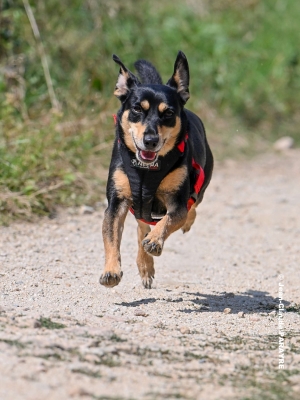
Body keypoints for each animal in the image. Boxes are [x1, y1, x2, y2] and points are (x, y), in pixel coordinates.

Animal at [100, 51, 213, 290]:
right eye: (136, 109)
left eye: (168, 113)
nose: (150, 140)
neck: (146, 171)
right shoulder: (116, 203)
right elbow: (111, 237)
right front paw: (111, 270)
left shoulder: (177, 202)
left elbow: (169, 219)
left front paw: (155, 240)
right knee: (142, 225)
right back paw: (145, 265)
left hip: (201, 183)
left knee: (191, 207)